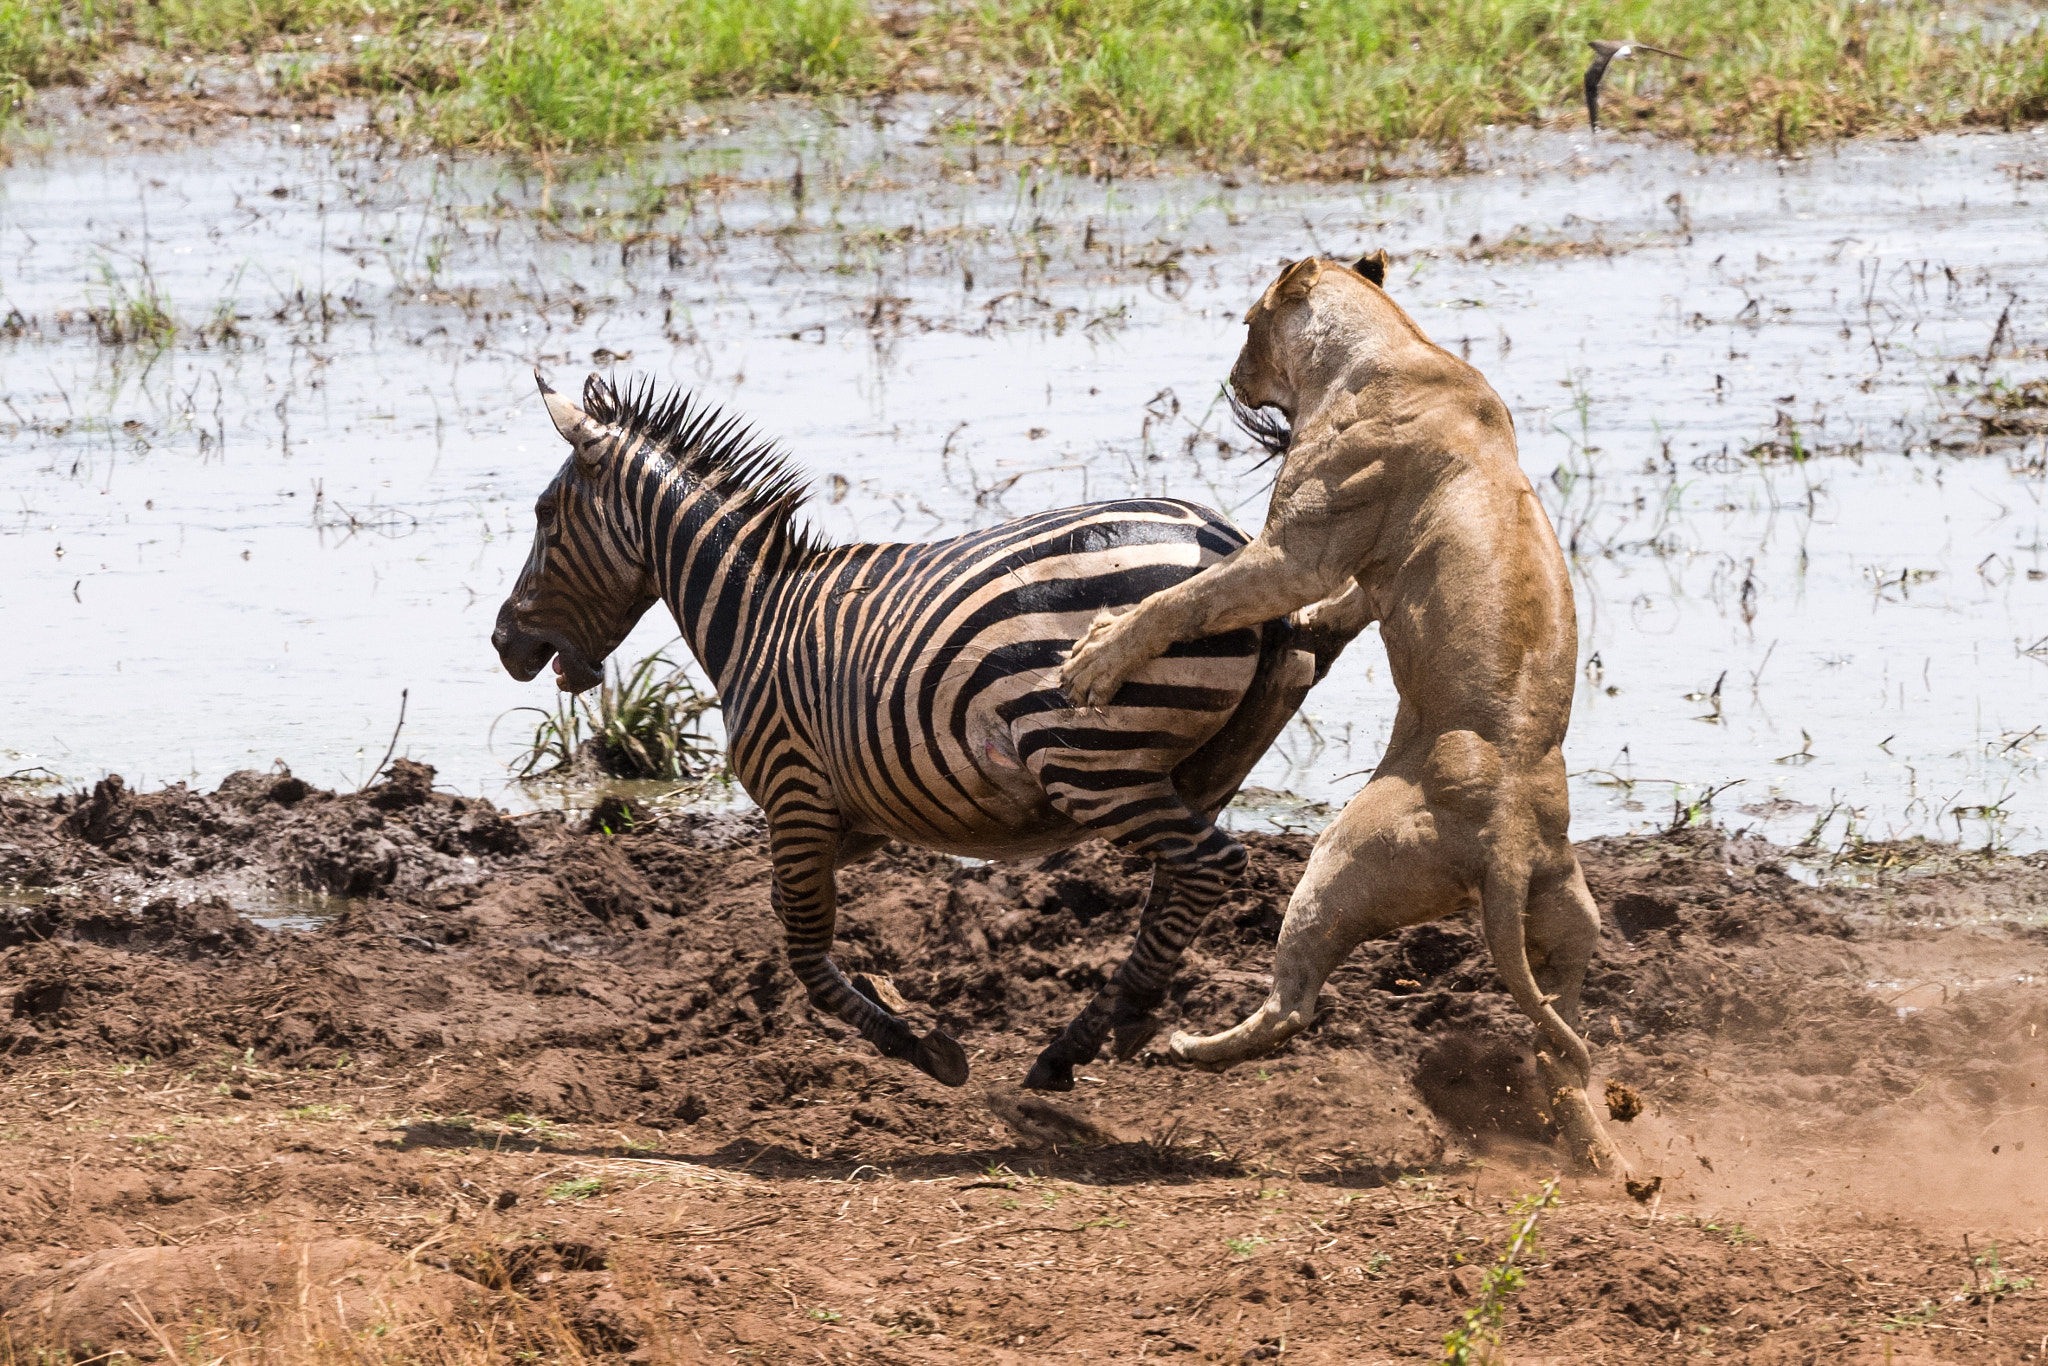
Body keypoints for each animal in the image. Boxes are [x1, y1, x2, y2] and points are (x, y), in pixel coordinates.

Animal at [492, 373, 1365, 1091]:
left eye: (542, 516)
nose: (504, 645)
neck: (753, 617)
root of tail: (1229, 542)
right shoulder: (855, 813)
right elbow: (789, 914)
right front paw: (898, 1007)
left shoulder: (795, 792)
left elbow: (804, 948)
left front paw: (922, 1048)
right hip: (1192, 768)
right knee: (1178, 881)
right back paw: (1106, 1026)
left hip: (1090, 761)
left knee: (1209, 864)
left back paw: (1082, 1040)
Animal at [1059, 252, 1624, 1172]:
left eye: (1248, 323)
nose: (1232, 377)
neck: (1392, 342)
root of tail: (1504, 841)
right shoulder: (1342, 565)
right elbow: (1339, 606)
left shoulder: (1294, 552)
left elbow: (1181, 602)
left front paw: (1095, 658)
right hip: (1568, 922)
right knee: (1561, 1046)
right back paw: (1618, 1162)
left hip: (1337, 865)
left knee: (1292, 1002)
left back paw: (1185, 1045)